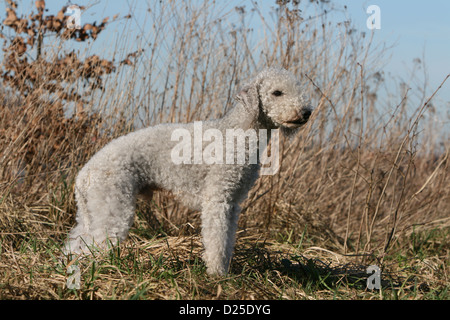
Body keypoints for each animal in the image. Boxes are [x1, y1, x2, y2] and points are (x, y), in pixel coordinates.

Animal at [65, 67, 312, 276]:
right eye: (277, 92)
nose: (306, 112)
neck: (238, 132)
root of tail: (83, 175)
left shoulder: (232, 203)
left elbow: (227, 240)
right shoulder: (218, 199)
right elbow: (216, 239)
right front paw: (217, 274)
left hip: (91, 212)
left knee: (74, 245)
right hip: (113, 207)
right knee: (93, 246)